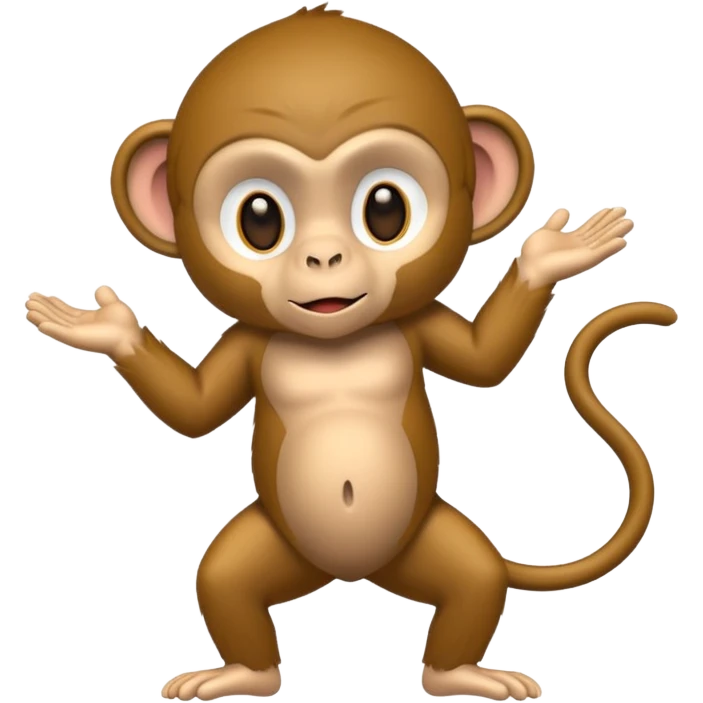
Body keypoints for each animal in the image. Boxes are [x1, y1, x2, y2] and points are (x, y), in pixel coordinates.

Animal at [24, 5, 678, 702]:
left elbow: (484, 364)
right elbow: (194, 412)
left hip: (425, 543)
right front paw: (107, 327)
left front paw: (547, 256)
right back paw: (246, 674)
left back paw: (457, 674)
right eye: (259, 219)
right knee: (224, 579)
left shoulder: (419, 325)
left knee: (474, 580)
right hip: (277, 548)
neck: (333, 340)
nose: (324, 258)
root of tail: (351, 574)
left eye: (385, 208)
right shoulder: (246, 343)